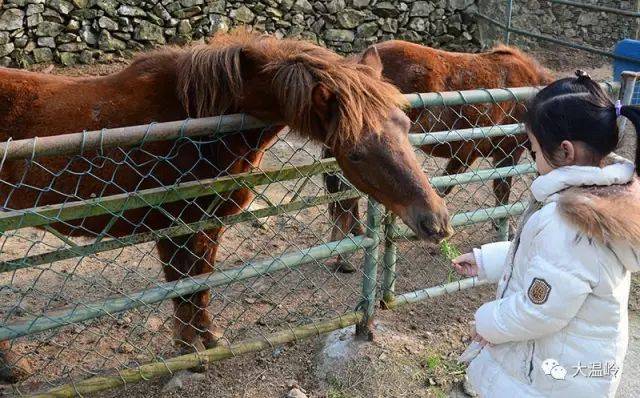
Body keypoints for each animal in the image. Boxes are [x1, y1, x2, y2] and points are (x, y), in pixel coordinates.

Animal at [0, 31, 450, 382]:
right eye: (355, 152)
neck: (197, 121)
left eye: (406, 124)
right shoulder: (173, 227)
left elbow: (201, 285)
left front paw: (209, 340)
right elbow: (182, 288)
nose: (437, 221)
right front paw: (188, 353)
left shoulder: (209, 224)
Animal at [322, 39, 552, 270]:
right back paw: (345, 255)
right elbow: (501, 192)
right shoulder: (507, 153)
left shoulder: (468, 153)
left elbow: (446, 186)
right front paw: (504, 229)